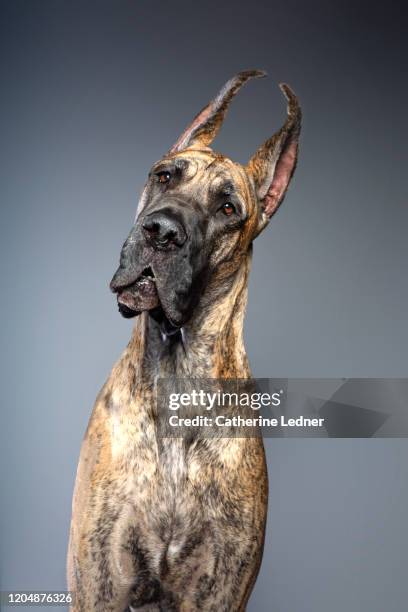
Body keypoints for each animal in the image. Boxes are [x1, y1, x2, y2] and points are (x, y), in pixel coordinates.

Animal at [67, 69, 300, 608]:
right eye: (165, 176)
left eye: (228, 208)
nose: (161, 231)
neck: (177, 372)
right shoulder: (100, 582)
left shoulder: (218, 589)